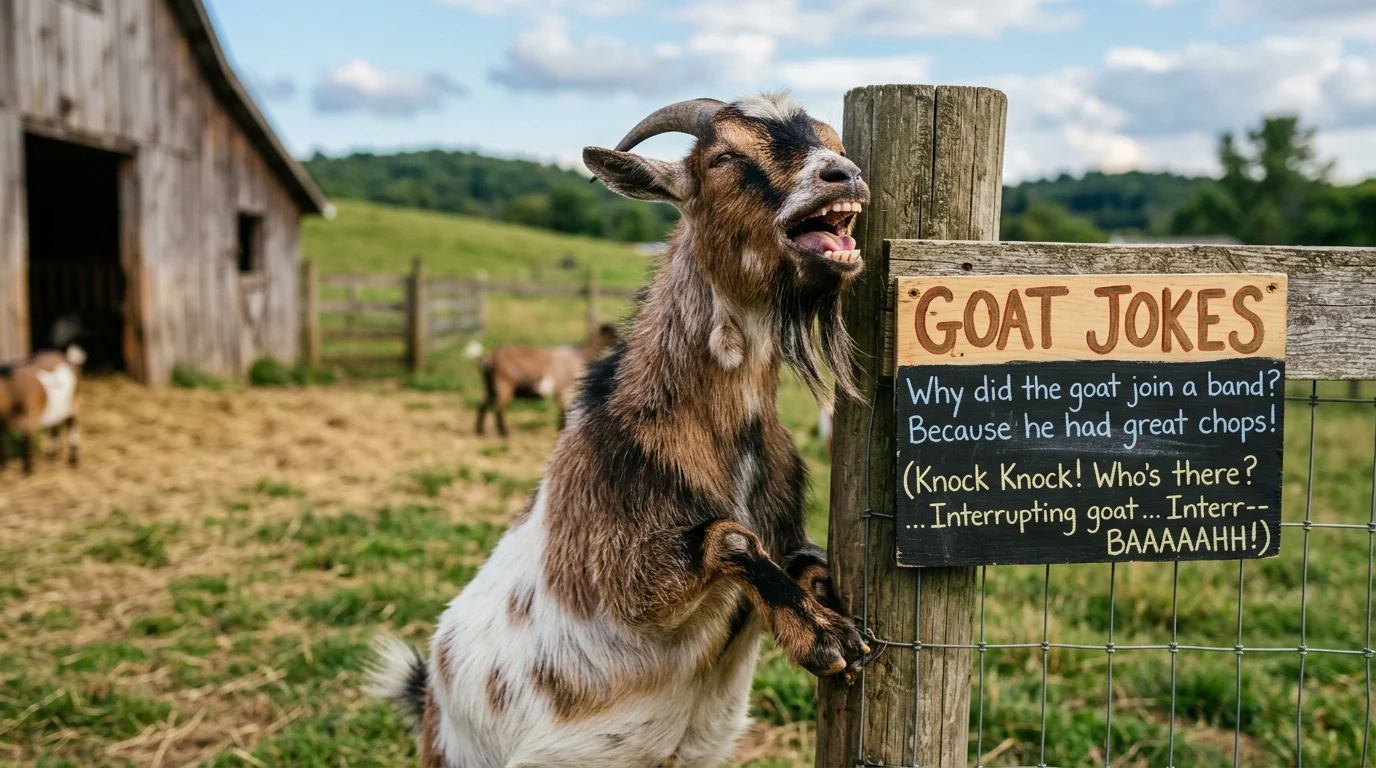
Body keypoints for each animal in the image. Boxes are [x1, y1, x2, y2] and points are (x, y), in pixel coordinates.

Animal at [0, 346, 86, 475]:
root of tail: (68, 359)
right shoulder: (4, 423)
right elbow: (4, 442)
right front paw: (3, 467)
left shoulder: (29, 418)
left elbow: (26, 443)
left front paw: (27, 471)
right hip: (55, 410)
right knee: (54, 431)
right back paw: (51, 458)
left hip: (74, 403)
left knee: (73, 430)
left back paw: (72, 462)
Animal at [472, 323, 619, 437]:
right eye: (614, 334)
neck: (580, 354)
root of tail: (488, 358)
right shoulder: (565, 389)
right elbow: (564, 410)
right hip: (503, 385)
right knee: (498, 408)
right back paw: (504, 433)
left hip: (490, 386)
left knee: (483, 405)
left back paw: (479, 431)